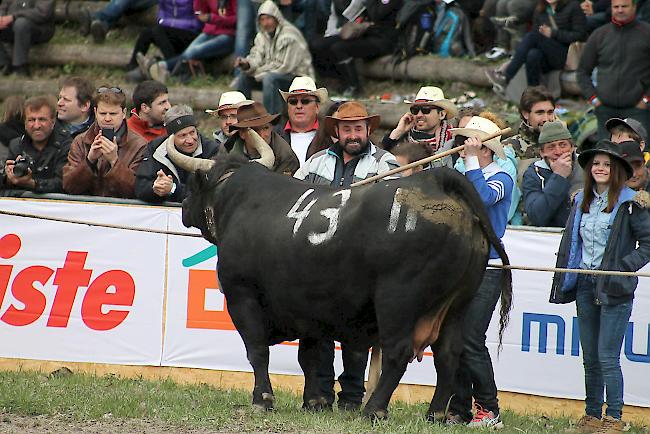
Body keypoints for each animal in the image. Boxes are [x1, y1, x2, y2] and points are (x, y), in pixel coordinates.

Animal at [180, 155, 508, 420]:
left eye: (192, 189)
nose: (182, 206)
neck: (237, 202)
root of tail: (434, 180)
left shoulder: (242, 295)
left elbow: (257, 350)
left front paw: (262, 399)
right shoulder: (307, 307)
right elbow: (309, 356)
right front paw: (314, 401)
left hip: (398, 300)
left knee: (397, 352)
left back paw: (374, 409)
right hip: (457, 306)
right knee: (449, 354)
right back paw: (435, 414)